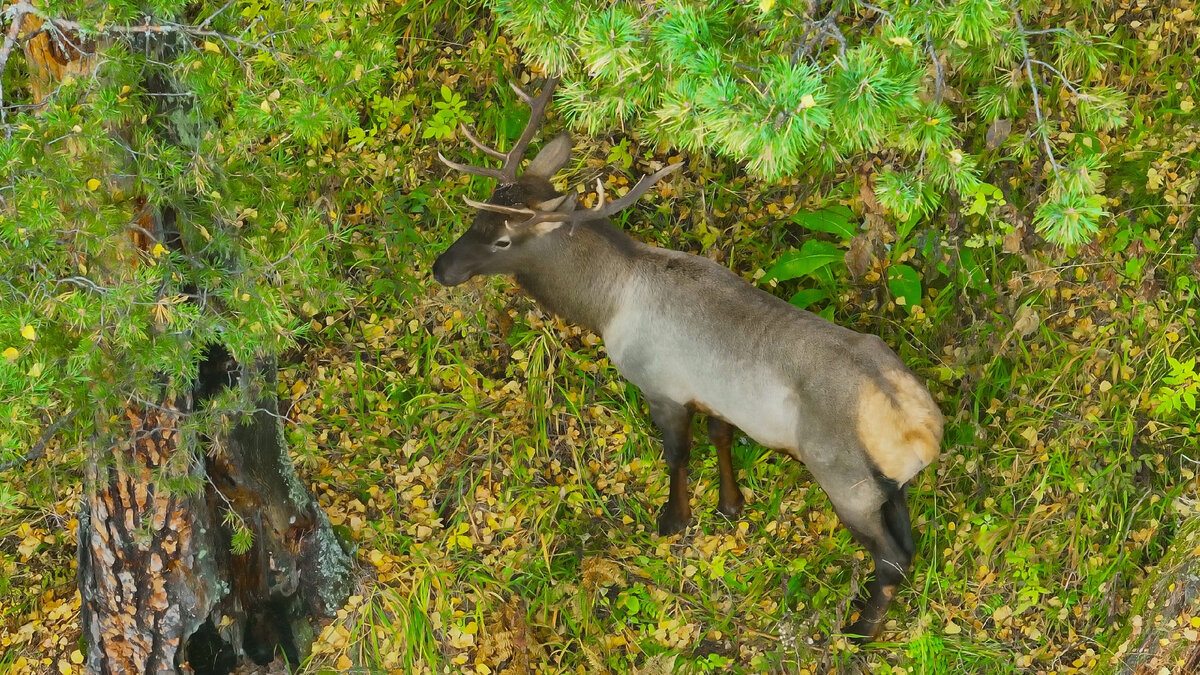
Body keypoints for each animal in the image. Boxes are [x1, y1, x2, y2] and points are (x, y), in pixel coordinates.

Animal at [432, 76, 945, 638]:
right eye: (479, 213)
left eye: (503, 240)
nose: (441, 268)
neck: (605, 304)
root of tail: (921, 431)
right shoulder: (714, 396)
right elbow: (720, 437)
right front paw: (730, 504)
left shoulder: (661, 386)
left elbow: (677, 454)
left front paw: (673, 519)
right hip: (891, 484)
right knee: (910, 546)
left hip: (845, 479)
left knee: (891, 556)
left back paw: (861, 628)